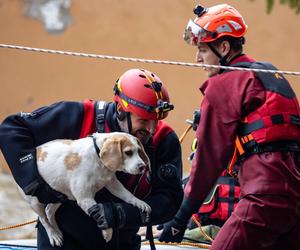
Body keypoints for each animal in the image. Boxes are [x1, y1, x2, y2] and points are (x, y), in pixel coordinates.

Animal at [21, 132, 151, 247]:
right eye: (128, 152)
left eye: (139, 151)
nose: (142, 166)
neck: (98, 158)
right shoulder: (85, 198)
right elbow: (100, 217)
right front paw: (108, 233)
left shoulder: (113, 184)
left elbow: (127, 195)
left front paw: (139, 202)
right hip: (36, 202)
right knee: (43, 219)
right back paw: (53, 234)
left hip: (59, 197)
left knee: (49, 212)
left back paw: (57, 232)